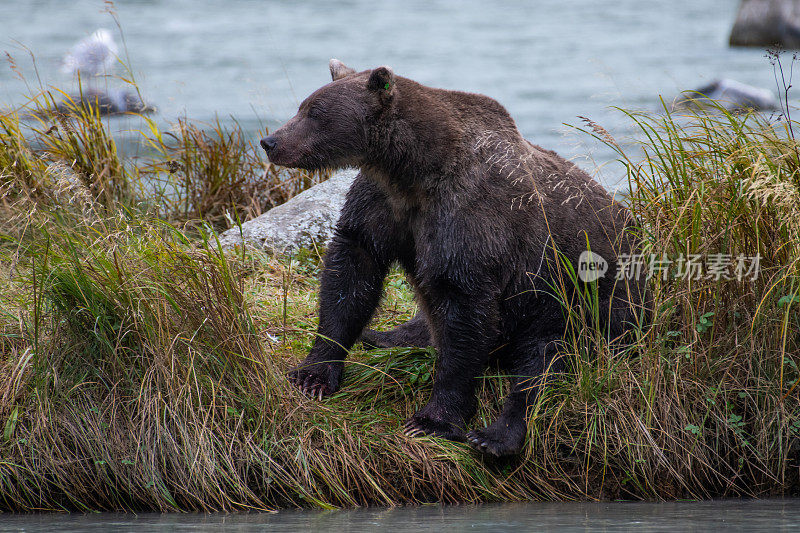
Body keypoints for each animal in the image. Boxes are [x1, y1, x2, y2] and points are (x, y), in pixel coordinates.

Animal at [260, 60, 644, 456]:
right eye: (304, 106)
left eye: (315, 112)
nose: (270, 142)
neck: (413, 172)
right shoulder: (381, 205)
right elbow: (351, 274)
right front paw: (314, 374)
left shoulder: (468, 217)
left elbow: (463, 310)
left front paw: (432, 419)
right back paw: (382, 336)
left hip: (581, 305)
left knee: (543, 366)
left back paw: (495, 436)